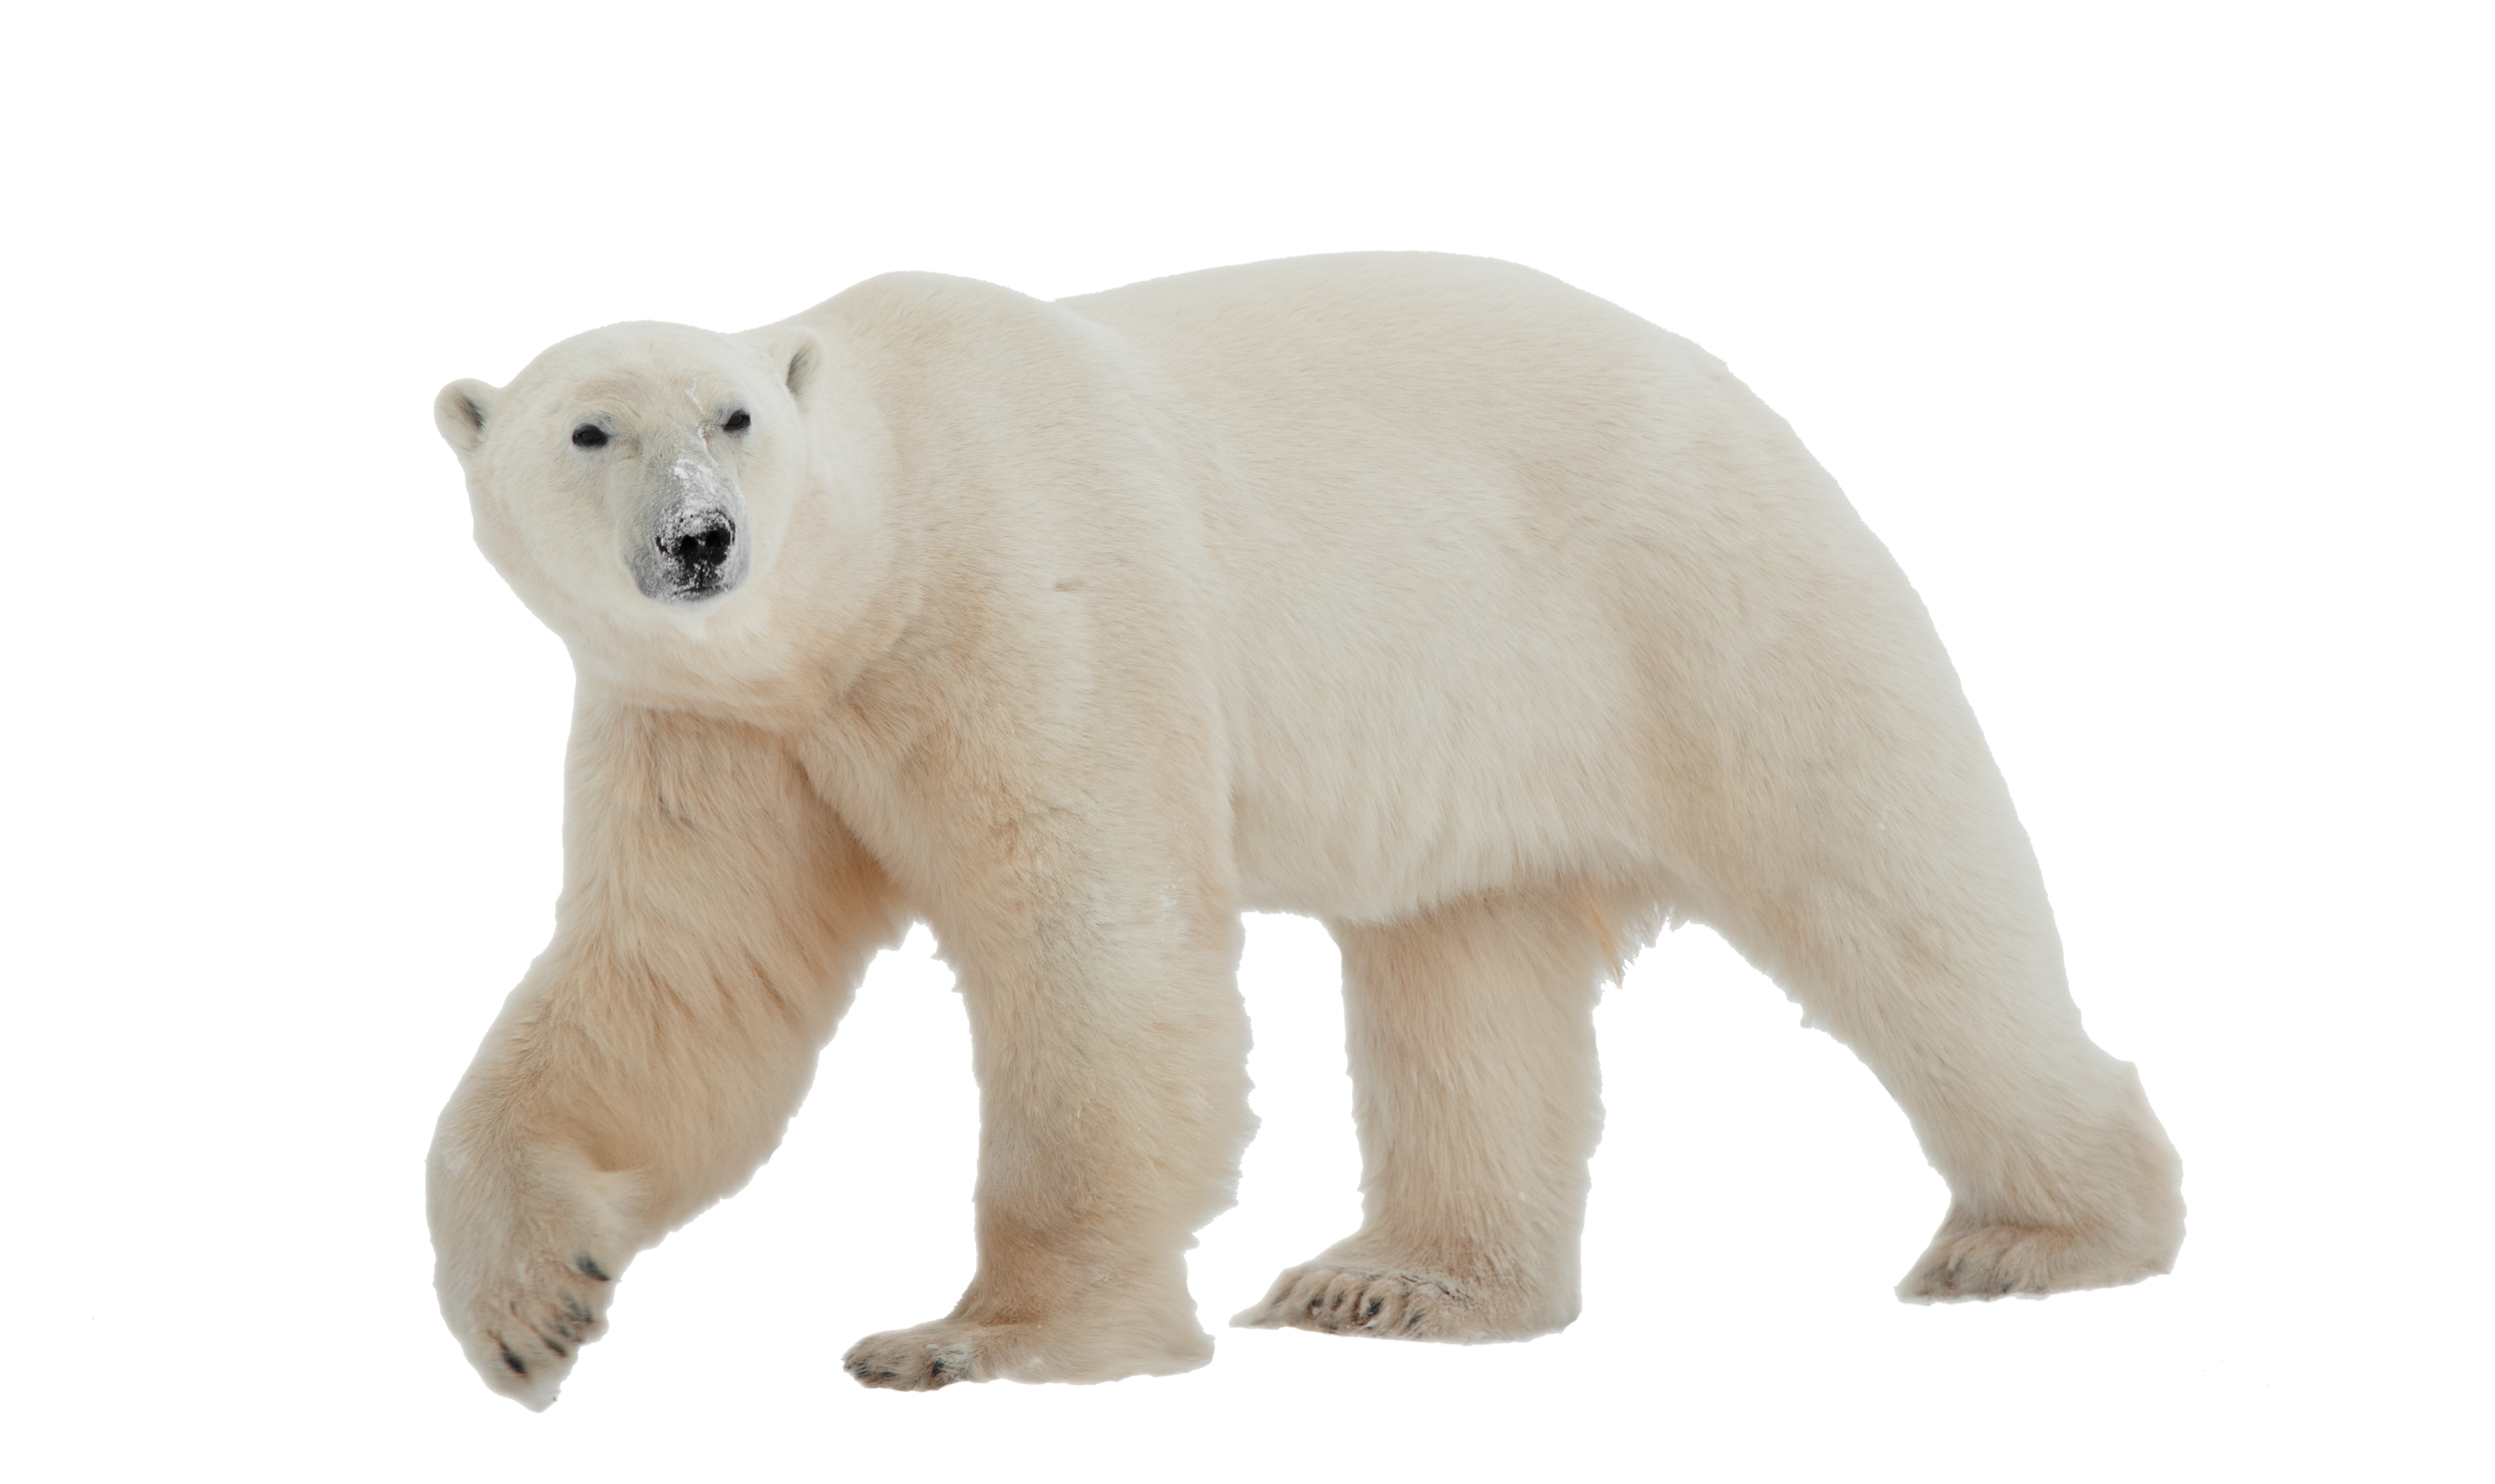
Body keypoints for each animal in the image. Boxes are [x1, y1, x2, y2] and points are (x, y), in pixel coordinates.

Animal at [427, 251, 2186, 1409]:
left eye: (733, 418)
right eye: (590, 430)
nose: (700, 540)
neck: (871, 572)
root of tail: (1730, 385)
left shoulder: (1030, 593)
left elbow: (1093, 933)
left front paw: (982, 1332)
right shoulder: (726, 726)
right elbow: (678, 984)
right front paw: (531, 1304)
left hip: (1697, 598)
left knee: (1889, 888)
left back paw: (2044, 1230)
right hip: (1487, 722)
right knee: (1465, 975)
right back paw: (1401, 1273)